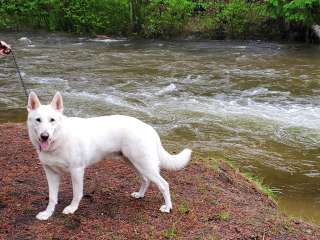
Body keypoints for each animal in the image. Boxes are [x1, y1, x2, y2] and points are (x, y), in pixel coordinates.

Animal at [26, 91, 190, 219]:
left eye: (52, 120)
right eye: (38, 120)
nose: (44, 136)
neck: (59, 138)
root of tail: (148, 127)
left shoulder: (77, 171)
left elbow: (77, 194)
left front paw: (72, 208)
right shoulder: (51, 173)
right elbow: (52, 197)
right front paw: (47, 214)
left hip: (144, 164)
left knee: (164, 185)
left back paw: (167, 207)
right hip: (134, 163)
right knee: (145, 180)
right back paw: (140, 195)